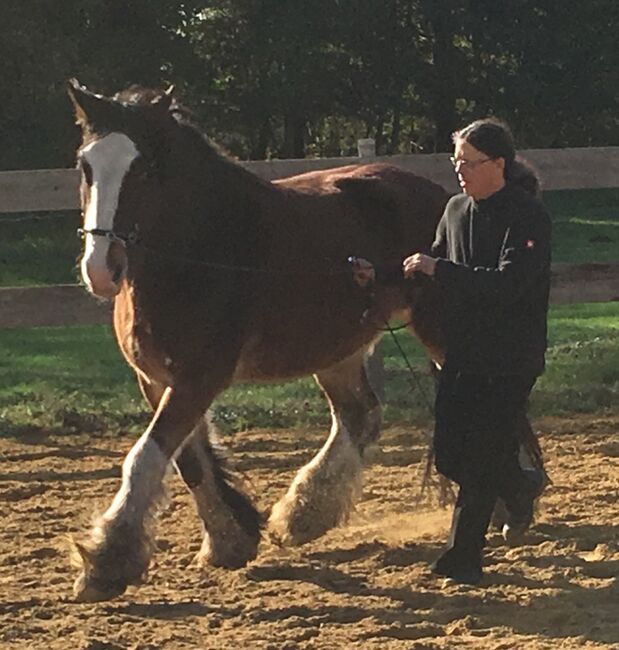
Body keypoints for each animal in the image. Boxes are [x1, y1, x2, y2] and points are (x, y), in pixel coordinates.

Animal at [65, 78, 448, 600]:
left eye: (142, 168)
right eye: (86, 165)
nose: (101, 269)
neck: (200, 252)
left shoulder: (199, 378)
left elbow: (144, 458)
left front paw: (106, 561)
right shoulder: (157, 378)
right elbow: (189, 462)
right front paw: (229, 542)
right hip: (337, 350)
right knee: (359, 416)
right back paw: (303, 516)